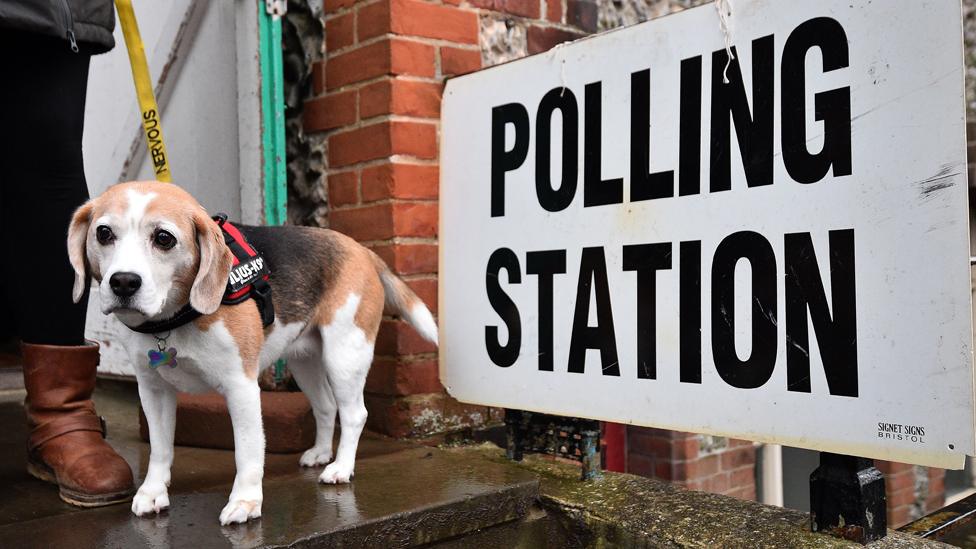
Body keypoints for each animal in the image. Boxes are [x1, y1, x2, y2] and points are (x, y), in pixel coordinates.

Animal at [68, 182, 434, 524]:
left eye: (163, 238)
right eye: (103, 233)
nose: (123, 282)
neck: (176, 317)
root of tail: (361, 249)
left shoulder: (240, 387)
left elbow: (246, 451)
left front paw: (245, 502)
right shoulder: (152, 389)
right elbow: (159, 449)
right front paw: (153, 492)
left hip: (345, 355)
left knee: (355, 413)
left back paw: (341, 467)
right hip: (305, 362)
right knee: (327, 406)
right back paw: (319, 453)